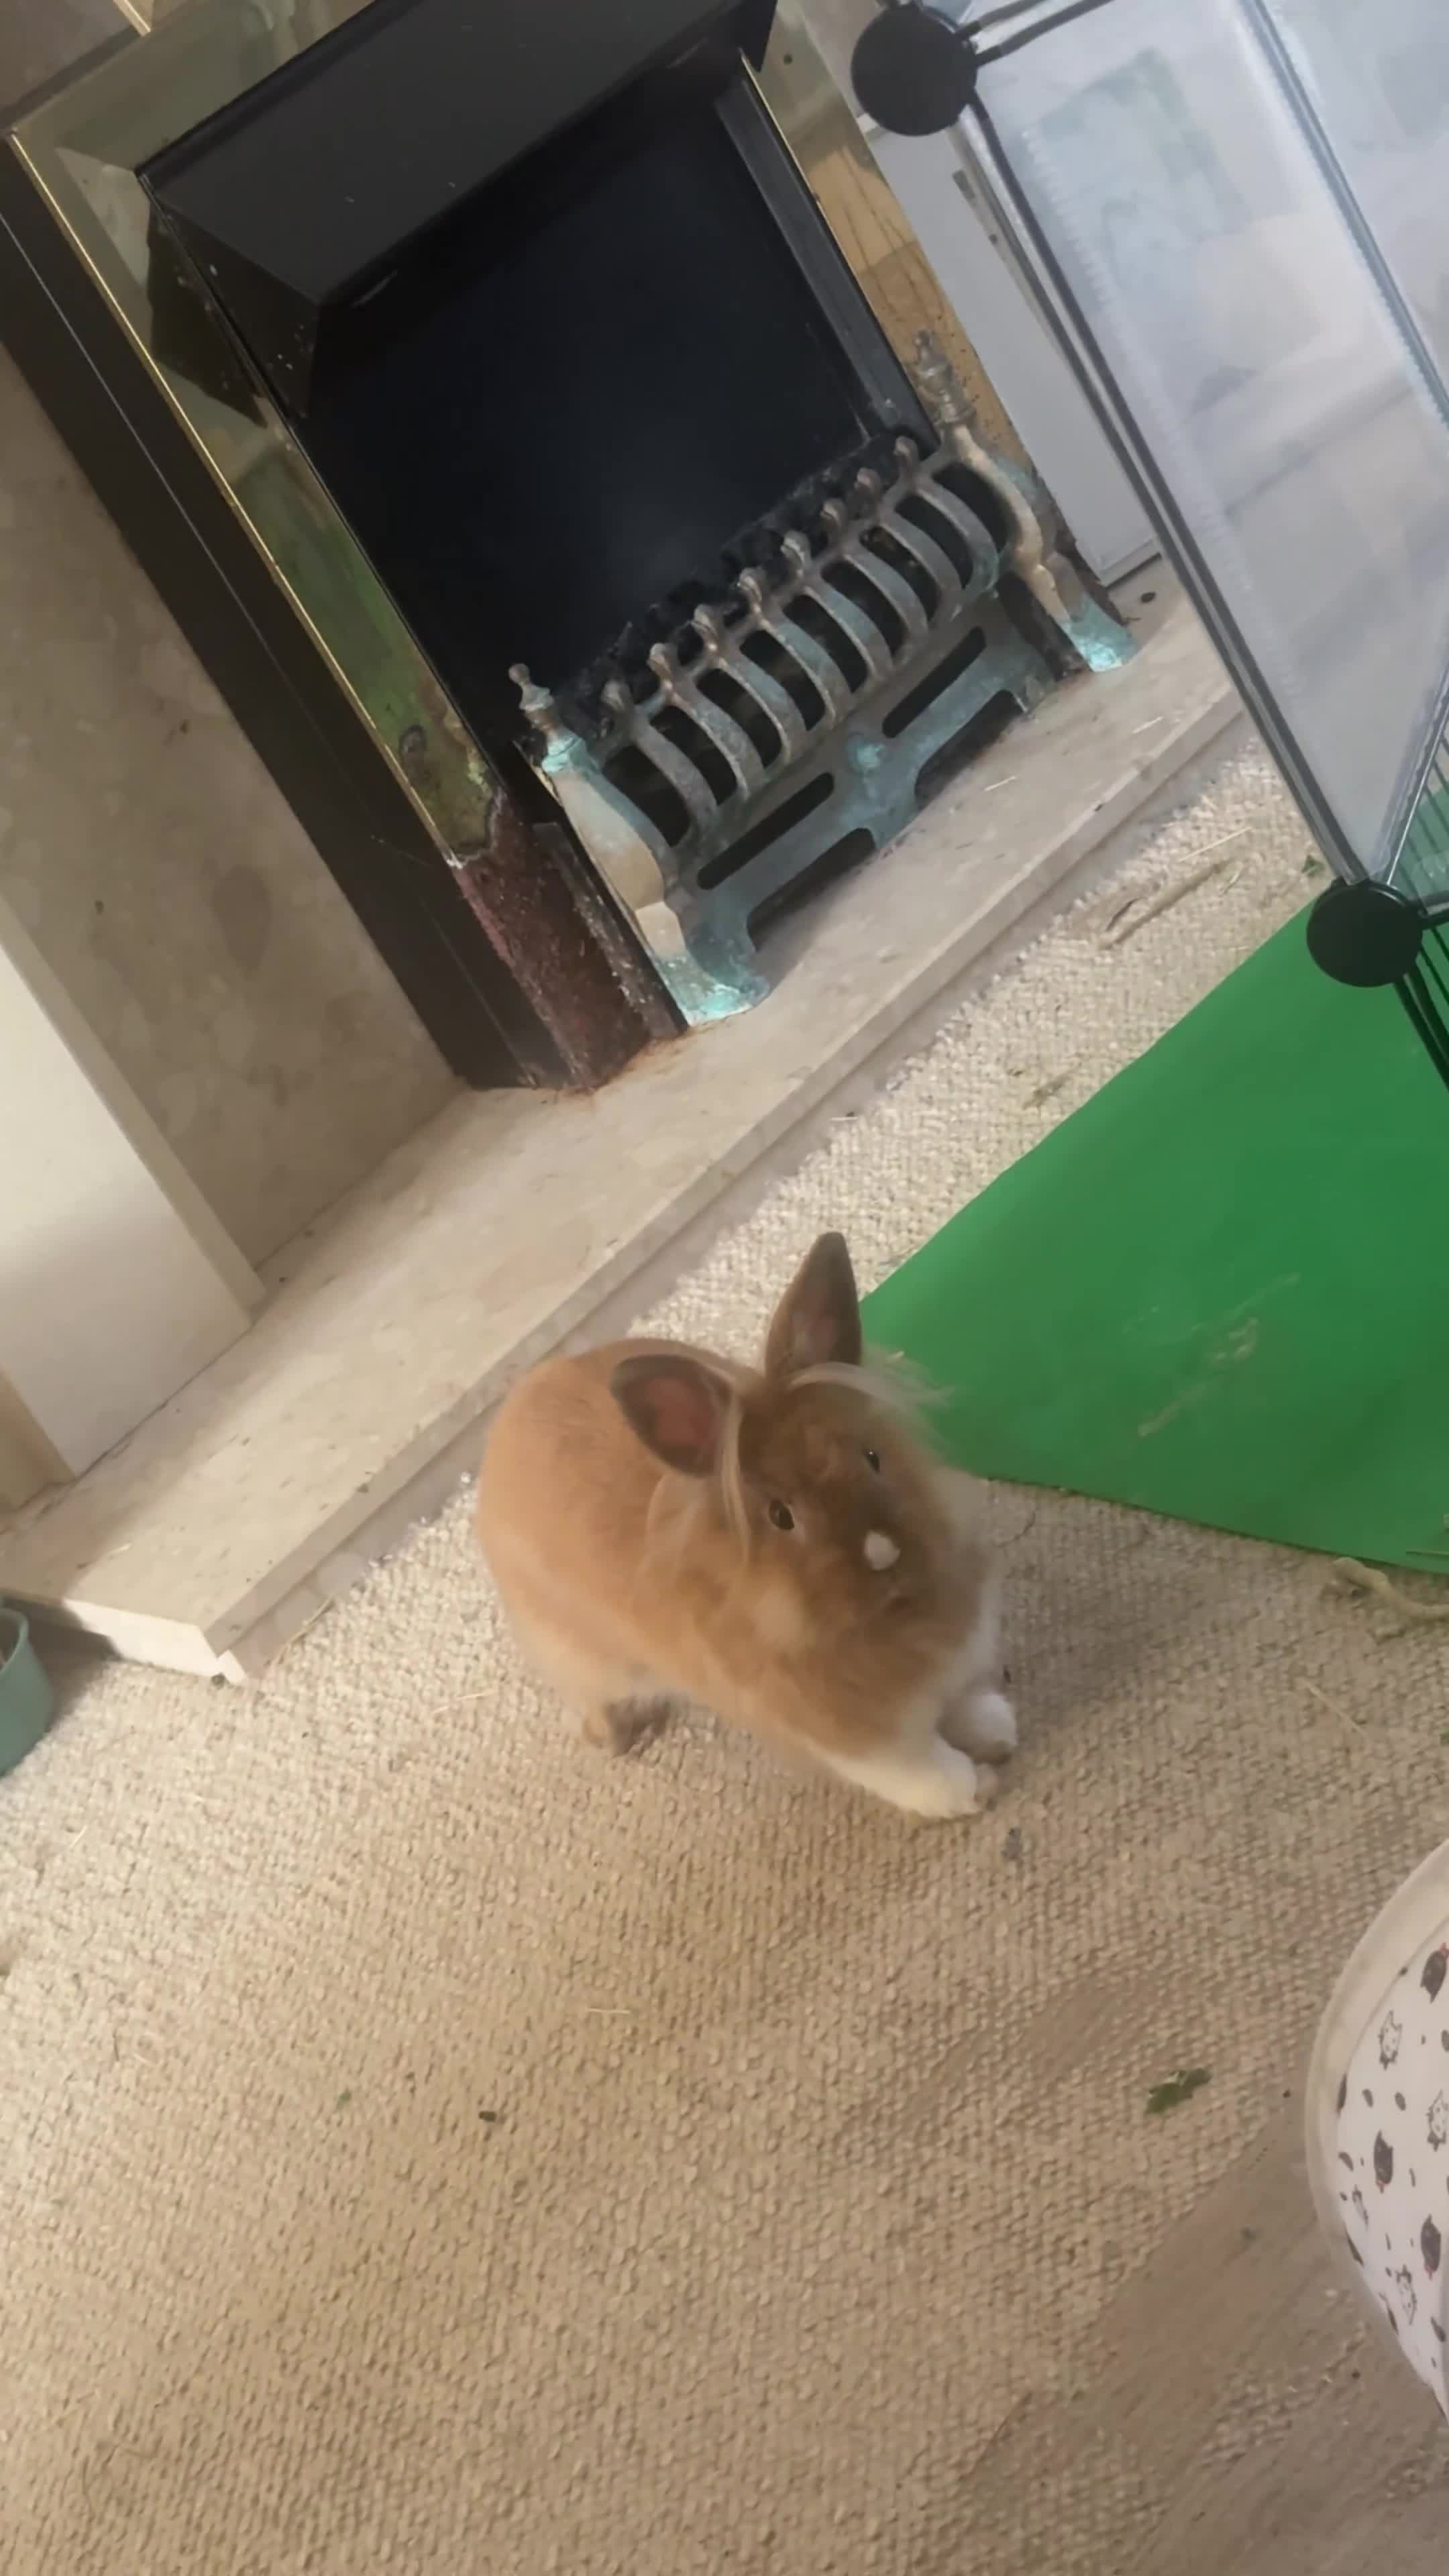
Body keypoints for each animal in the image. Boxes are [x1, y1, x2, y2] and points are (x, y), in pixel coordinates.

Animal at [475, 1232, 1014, 1819]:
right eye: (781, 1516)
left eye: (873, 1457)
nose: (885, 1555)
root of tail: (514, 1409)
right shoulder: (867, 1738)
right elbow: (931, 1772)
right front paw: (978, 1789)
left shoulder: (953, 1668)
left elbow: (964, 1706)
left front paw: (998, 1732)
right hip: (582, 1650)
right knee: (589, 1692)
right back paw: (614, 1735)